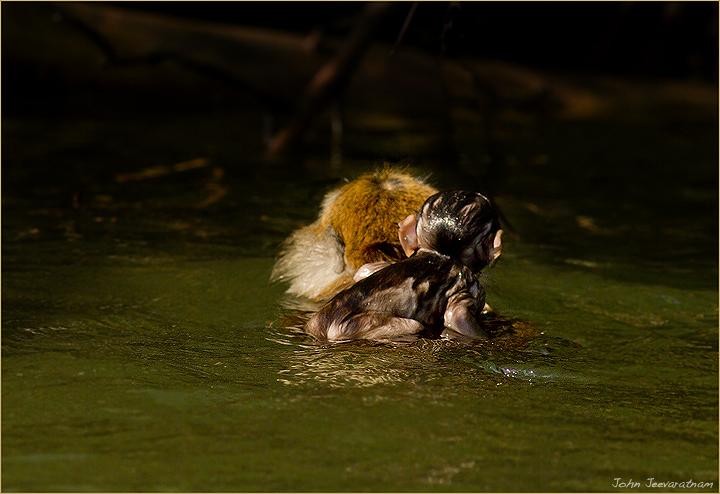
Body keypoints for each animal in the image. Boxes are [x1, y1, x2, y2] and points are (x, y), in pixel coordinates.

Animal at [305, 190, 503, 344]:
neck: (441, 254)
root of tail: (323, 324)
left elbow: (364, 270)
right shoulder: (471, 286)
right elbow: (457, 317)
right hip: (350, 327)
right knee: (415, 325)